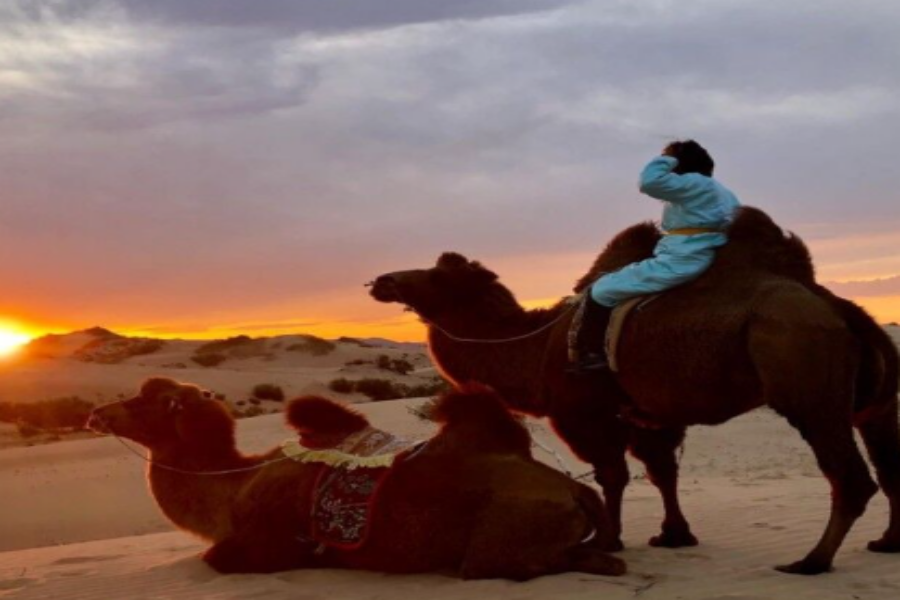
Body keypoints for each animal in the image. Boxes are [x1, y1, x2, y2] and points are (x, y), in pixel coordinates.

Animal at [87, 377, 625, 580]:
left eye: (143, 399)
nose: (96, 413)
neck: (234, 484)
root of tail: (576, 489)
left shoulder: (267, 541)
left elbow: (217, 557)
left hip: (498, 544)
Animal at [368, 206, 900, 574]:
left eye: (436, 274)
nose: (382, 280)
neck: (534, 345)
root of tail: (837, 308)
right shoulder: (649, 414)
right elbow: (662, 472)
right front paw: (674, 535)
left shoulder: (583, 413)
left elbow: (612, 475)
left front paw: (608, 539)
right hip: (873, 400)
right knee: (887, 463)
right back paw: (885, 542)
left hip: (807, 384)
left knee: (850, 476)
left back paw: (811, 561)